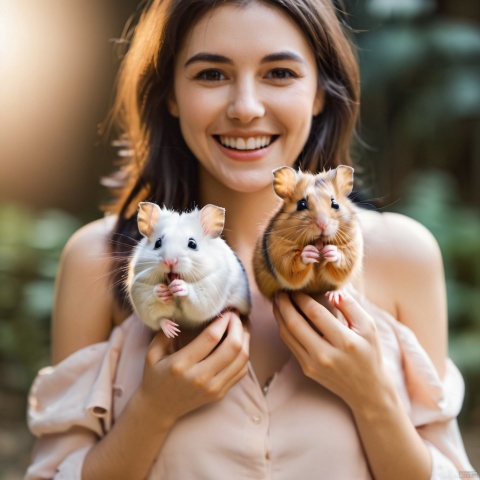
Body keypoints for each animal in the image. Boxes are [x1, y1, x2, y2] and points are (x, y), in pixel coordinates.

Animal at [125, 202, 253, 338]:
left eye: (192, 244)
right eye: (157, 243)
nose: (169, 261)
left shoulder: (211, 287)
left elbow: (195, 296)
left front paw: (179, 286)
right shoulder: (139, 288)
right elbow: (157, 315)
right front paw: (162, 293)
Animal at [253, 166, 362, 300]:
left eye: (335, 204)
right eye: (301, 204)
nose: (322, 224)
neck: (317, 242)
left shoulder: (351, 246)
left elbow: (343, 261)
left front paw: (330, 251)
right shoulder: (280, 251)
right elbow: (293, 264)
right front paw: (310, 252)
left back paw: (335, 296)